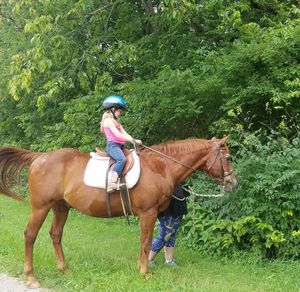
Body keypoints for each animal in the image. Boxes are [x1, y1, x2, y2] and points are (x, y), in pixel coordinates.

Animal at [0, 137, 237, 288]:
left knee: (55, 235)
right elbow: (146, 241)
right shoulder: (148, 213)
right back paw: (31, 277)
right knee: (30, 235)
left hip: (61, 207)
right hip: (41, 207)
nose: (233, 183)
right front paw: (145, 272)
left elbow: (151, 240)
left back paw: (64, 268)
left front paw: (142, 267)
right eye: (228, 158)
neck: (160, 167)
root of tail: (39, 157)